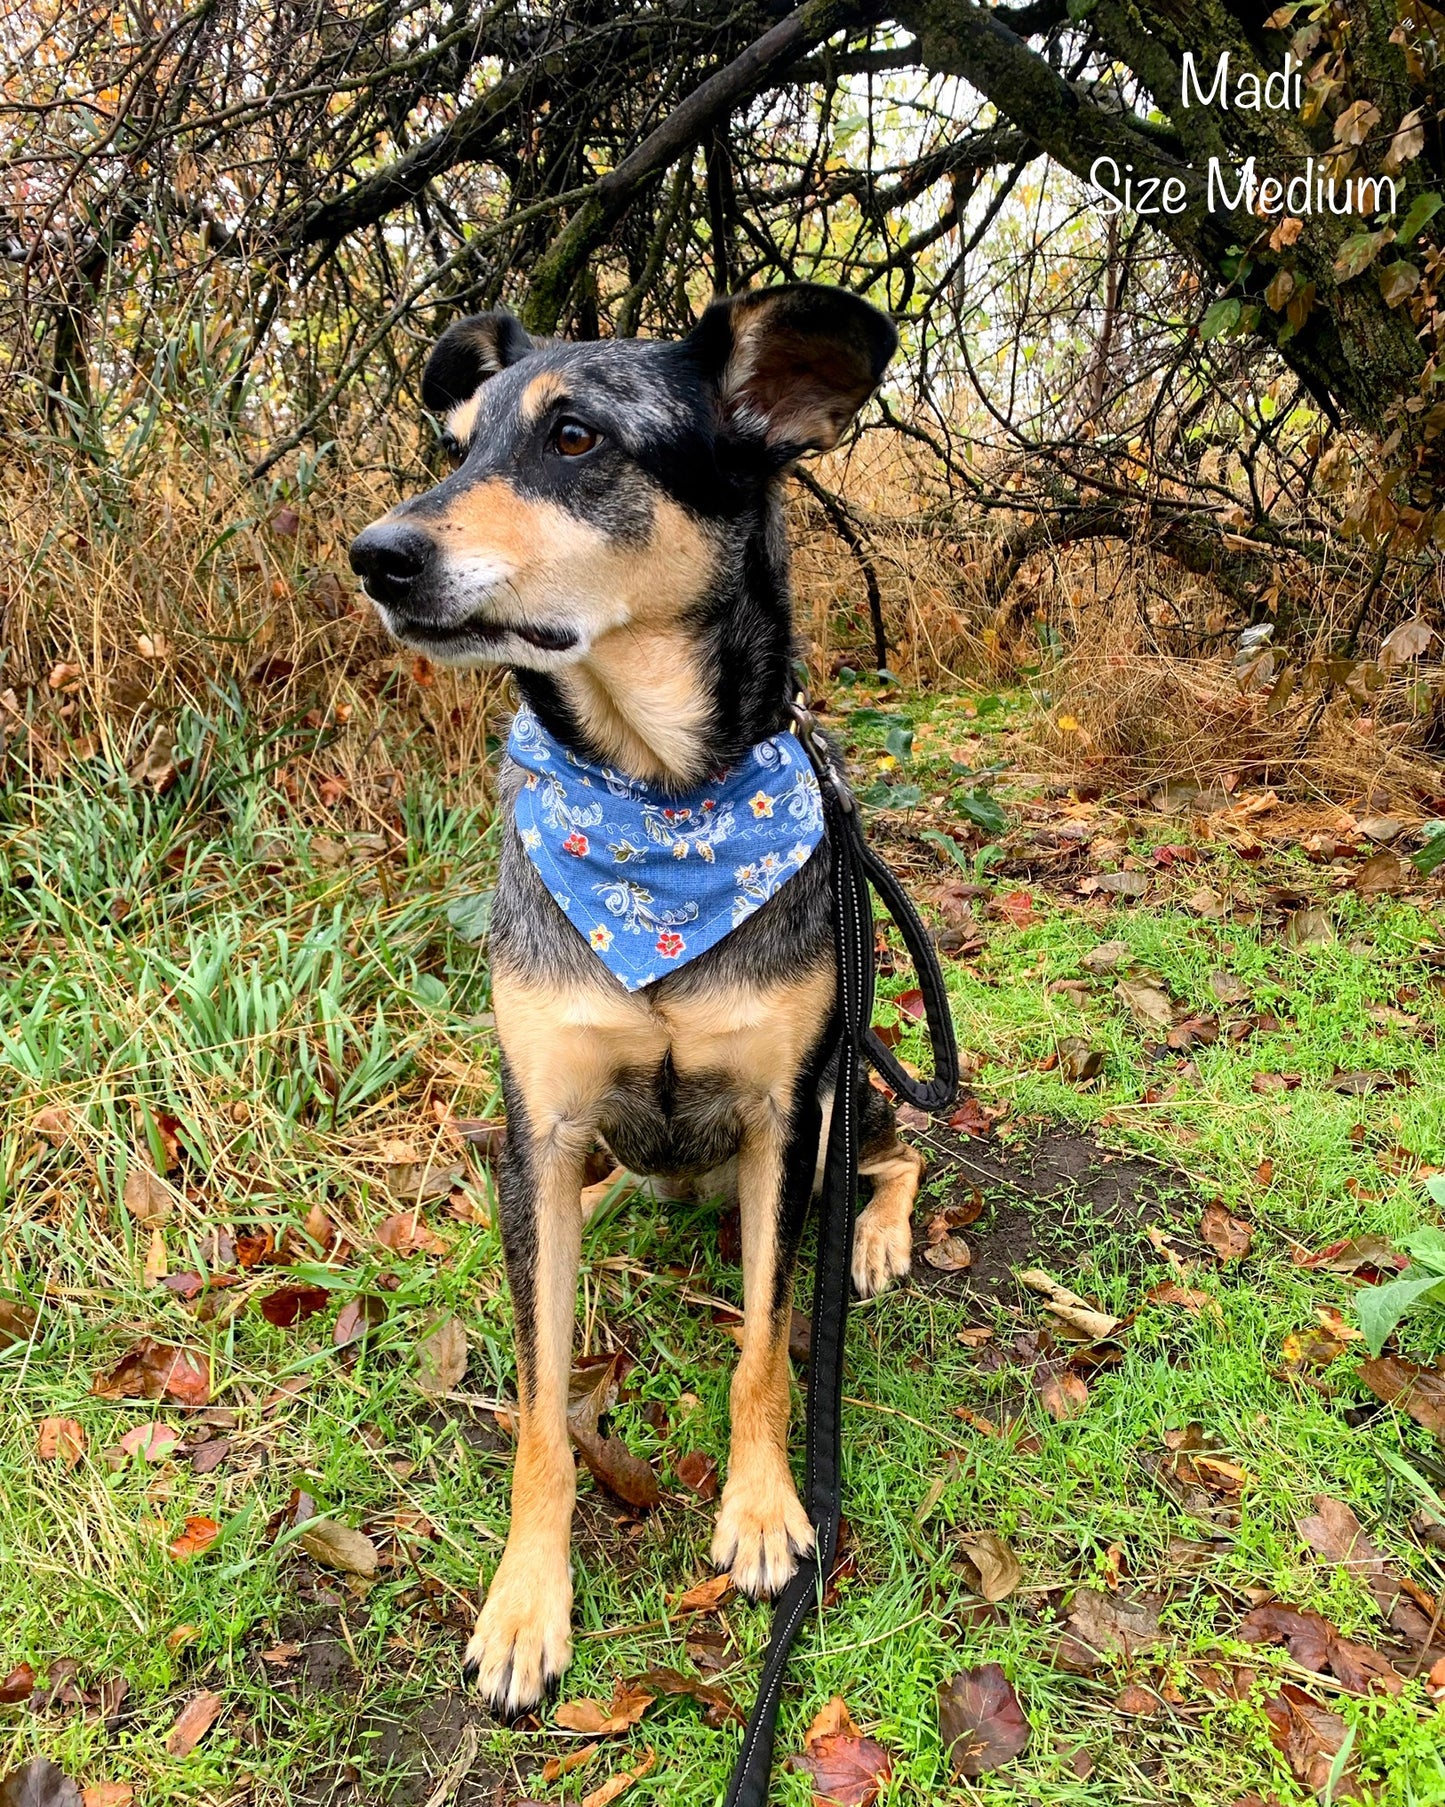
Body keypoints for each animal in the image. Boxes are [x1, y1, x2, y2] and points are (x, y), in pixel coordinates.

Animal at [346, 281, 924, 1705]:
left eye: (575, 437)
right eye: (458, 442)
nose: (375, 554)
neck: (656, 806)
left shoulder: (782, 1116)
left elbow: (764, 1345)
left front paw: (765, 1510)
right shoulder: (543, 1115)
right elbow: (543, 1405)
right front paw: (523, 1599)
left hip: (852, 1082)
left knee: (906, 1149)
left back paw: (878, 1236)